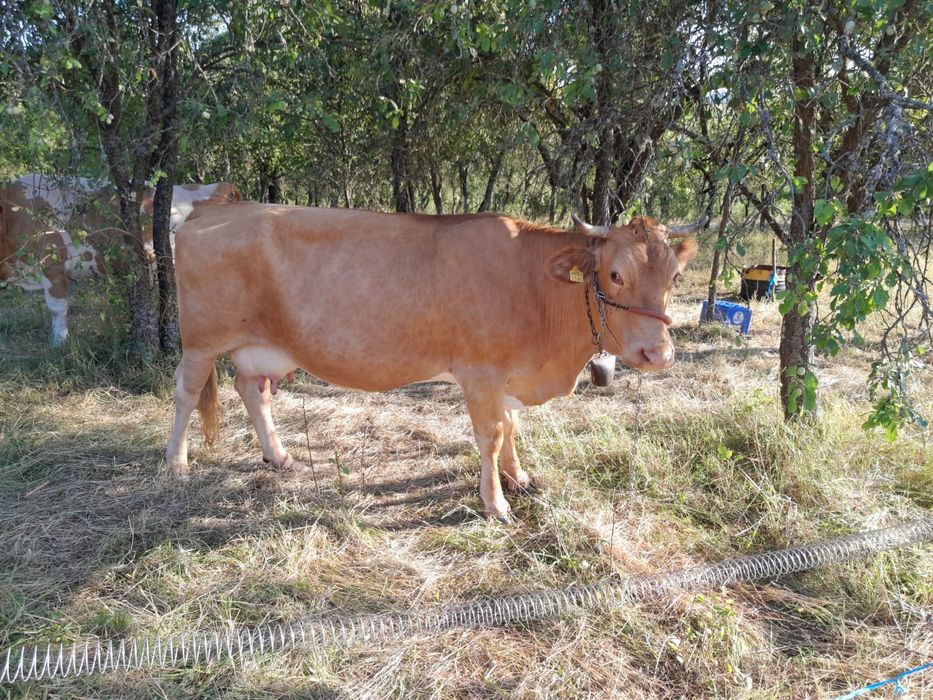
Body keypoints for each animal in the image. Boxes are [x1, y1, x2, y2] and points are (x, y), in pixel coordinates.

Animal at [166, 205, 702, 521]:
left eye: (675, 278)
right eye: (614, 274)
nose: (658, 354)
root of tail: (212, 209)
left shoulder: (505, 375)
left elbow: (511, 427)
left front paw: (519, 477)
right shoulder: (479, 372)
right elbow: (491, 434)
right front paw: (496, 503)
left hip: (257, 344)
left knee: (250, 389)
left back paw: (278, 456)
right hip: (200, 339)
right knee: (187, 392)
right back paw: (177, 465)